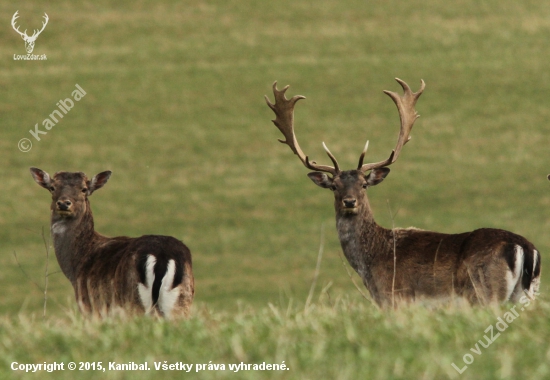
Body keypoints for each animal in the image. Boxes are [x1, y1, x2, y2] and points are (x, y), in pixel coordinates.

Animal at [30, 168, 195, 320]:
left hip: (134, 303)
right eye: (53, 187)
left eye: (84, 189)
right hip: (181, 304)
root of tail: (162, 256)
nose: (64, 203)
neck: (76, 267)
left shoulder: (89, 308)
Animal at [268, 78, 544, 308]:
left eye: (364, 184)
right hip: (526, 295)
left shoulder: (393, 299)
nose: (349, 201)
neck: (369, 264)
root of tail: (525, 248)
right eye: (334, 186)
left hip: (486, 293)